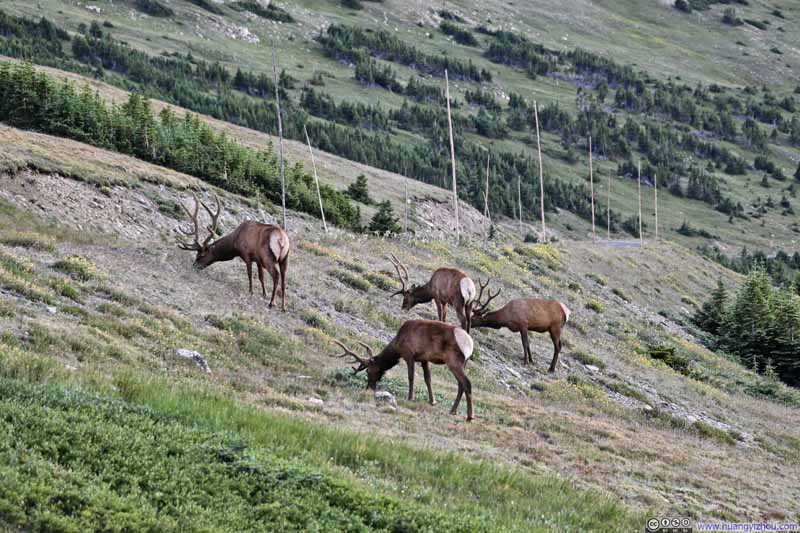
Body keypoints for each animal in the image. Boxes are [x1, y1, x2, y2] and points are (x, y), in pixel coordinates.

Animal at [331, 319, 476, 421]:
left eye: (368, 371)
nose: (369, 388)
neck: (397, 345)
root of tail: (470, 345)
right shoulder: (424, 358)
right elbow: (427, 378)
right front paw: (432, 401)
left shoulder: (408, 354)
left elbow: (411, 376)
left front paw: (410, 397)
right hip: (462, 363)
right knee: (461, 385)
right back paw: (453, 410)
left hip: (453, 361)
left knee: (467, 383)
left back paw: (470, 416)